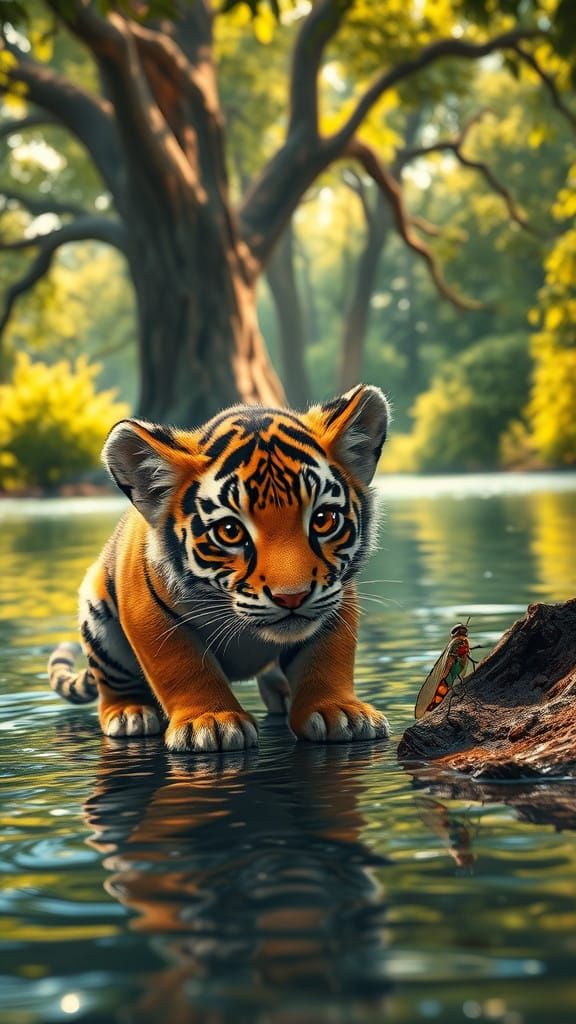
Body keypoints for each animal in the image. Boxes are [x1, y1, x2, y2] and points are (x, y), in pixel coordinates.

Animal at [47, 383, 391, 753]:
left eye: (323, 520)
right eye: (230, 531)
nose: (292, 597)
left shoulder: (336, 596)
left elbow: (326, 658)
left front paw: (338, 712)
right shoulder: (148, 610)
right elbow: (183, 666)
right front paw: (210, 722)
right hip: (97, 614)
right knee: (113, 684)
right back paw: (129, 713)